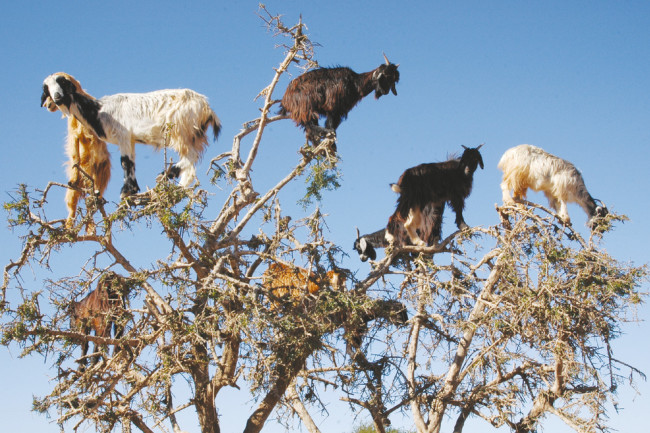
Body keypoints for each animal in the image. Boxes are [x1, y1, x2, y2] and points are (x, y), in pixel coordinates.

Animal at [43, 73, 221, 197]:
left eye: (63, 83)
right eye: (47, 89)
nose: (56, 98)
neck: (99, 110)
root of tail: (206, 108)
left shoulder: (123, 136)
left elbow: (125, 163)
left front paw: (126, 191)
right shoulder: (131, 140)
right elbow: (131, 162)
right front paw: (132, 190)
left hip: (180, 131)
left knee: (191, 157)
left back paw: (167, 175)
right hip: (193, 135)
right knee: (192, 164)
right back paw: (178, 185)